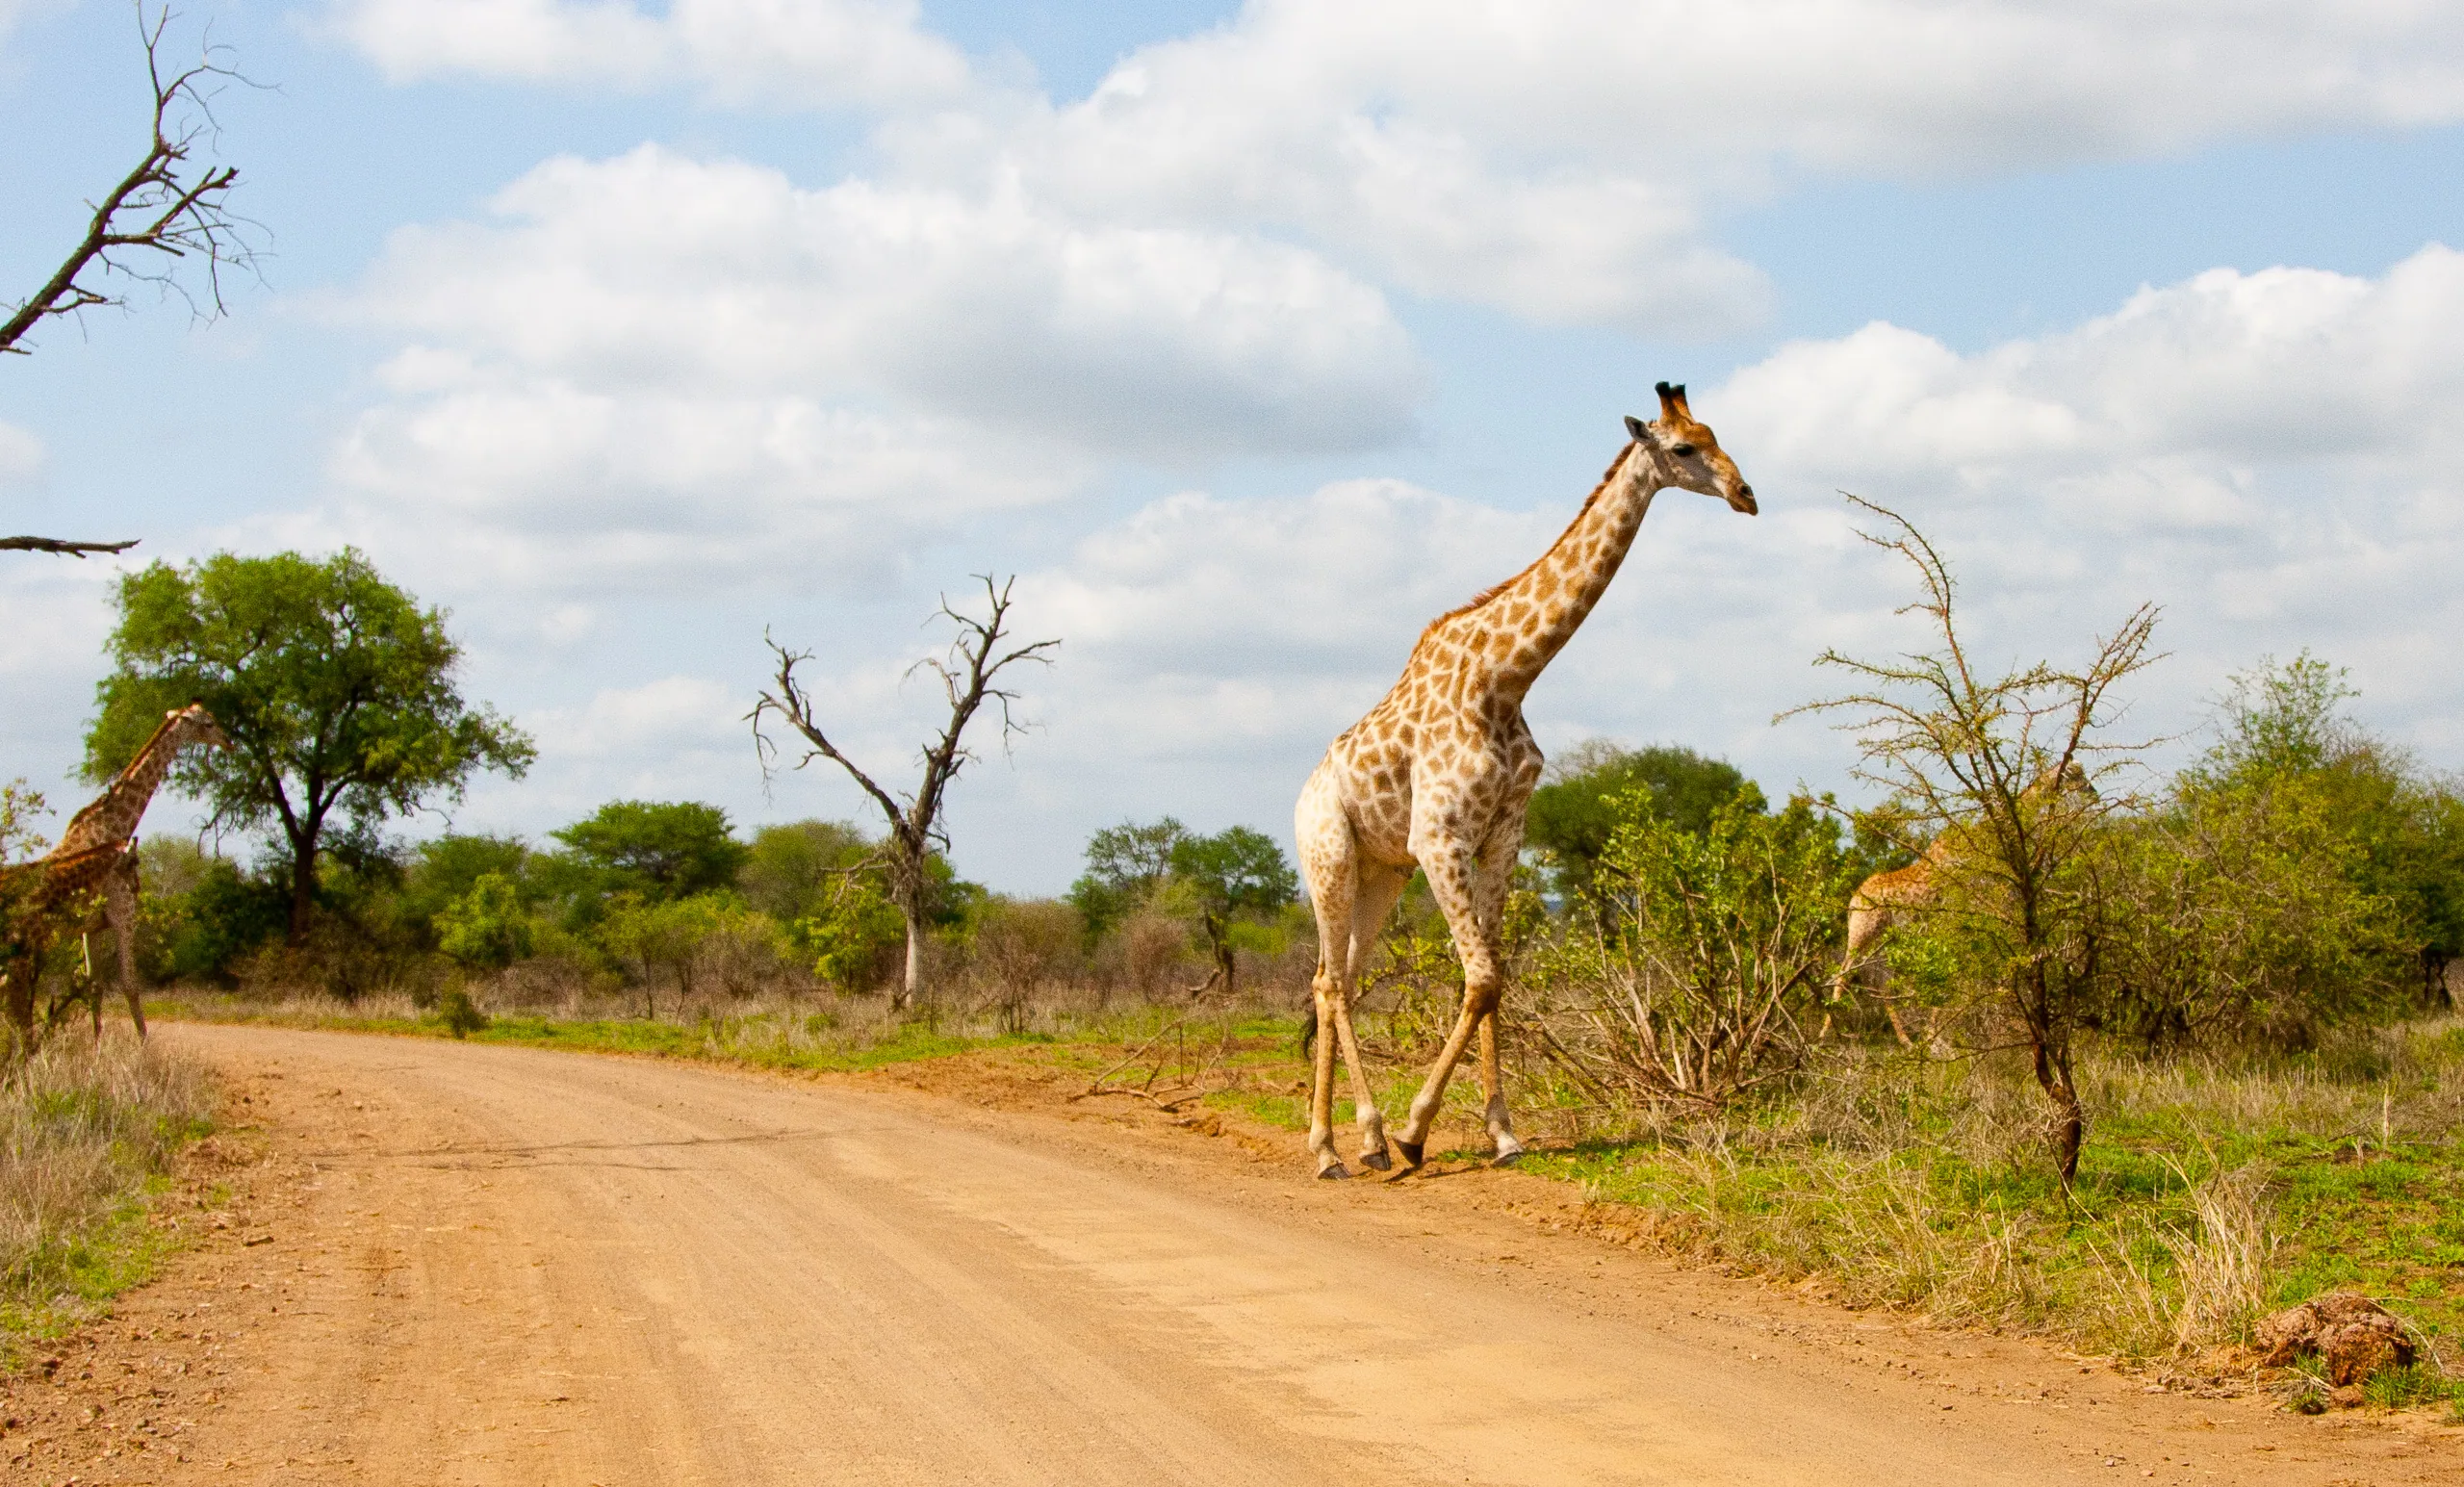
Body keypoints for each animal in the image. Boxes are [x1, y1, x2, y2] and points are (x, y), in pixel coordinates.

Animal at [51, 703, 231, 1037]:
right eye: (208, 724)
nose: (229, 742)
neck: (113, 825)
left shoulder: (91, 927)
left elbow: (94, 988)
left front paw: (97, 1046)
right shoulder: (125, 915)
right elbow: (130, 987)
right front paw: (143, 1046)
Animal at [1293, 382, 1758, 1179]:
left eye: (1717, 435)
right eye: (1683, 448)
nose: (1746, 494)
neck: (1507, 675)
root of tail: (1300, 797)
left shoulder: (1502, 832)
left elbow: (1489, 979)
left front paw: (1501, 1133)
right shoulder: (1440, 835)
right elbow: (1482, 977)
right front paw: (1418, 1129)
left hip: (1382, 872)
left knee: (1343, 979)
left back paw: (1363, 1140)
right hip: (1330, 857)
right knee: (1328, 981)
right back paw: (1335, 1146)